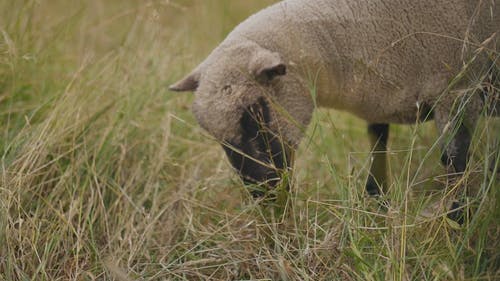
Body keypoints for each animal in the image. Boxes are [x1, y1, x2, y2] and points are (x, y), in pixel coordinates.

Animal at [170, 0, 498, 221]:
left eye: (256, 112)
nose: (265, 194)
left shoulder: (459, 90)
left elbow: (455, 163)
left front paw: (456, 223)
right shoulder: (382, 105)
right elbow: (377, 146)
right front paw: (378, 206)